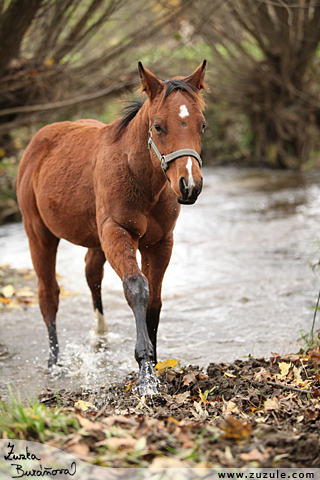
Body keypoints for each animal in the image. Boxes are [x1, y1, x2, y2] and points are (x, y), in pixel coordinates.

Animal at [16, 60, 208, 396]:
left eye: (202, 125)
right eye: (158, 126)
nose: (189, 185)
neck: (139, 176)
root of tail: (39, 141)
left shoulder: (160, 243)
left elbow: (154, 300)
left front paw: (154, 365)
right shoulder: (118, 233)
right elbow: (137, 287)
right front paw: (145, 375)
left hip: (95, 239)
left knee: (92, 275)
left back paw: (100, 334)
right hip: (38, 233)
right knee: (48, 293)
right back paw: (55, 362)